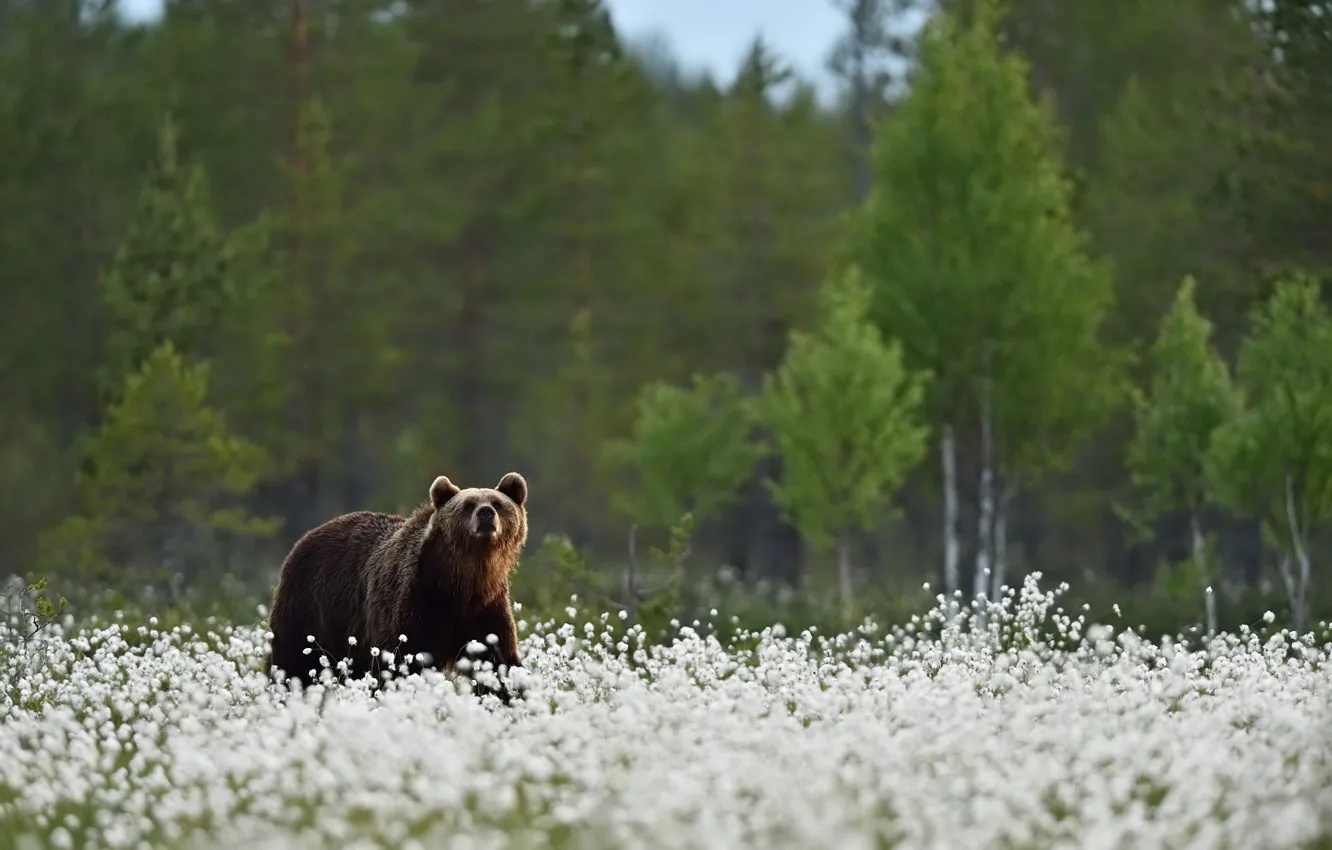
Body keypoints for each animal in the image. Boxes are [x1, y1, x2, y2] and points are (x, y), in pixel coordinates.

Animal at [265, 471, 529, 702]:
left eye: (498, 503)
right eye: (468, 504)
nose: (485, 513)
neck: (462, 582)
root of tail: (305, 537)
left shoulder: (486, 607)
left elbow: (498, 660)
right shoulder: (416, 600)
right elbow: (401, 659)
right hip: (310, 606)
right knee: (294, 661)